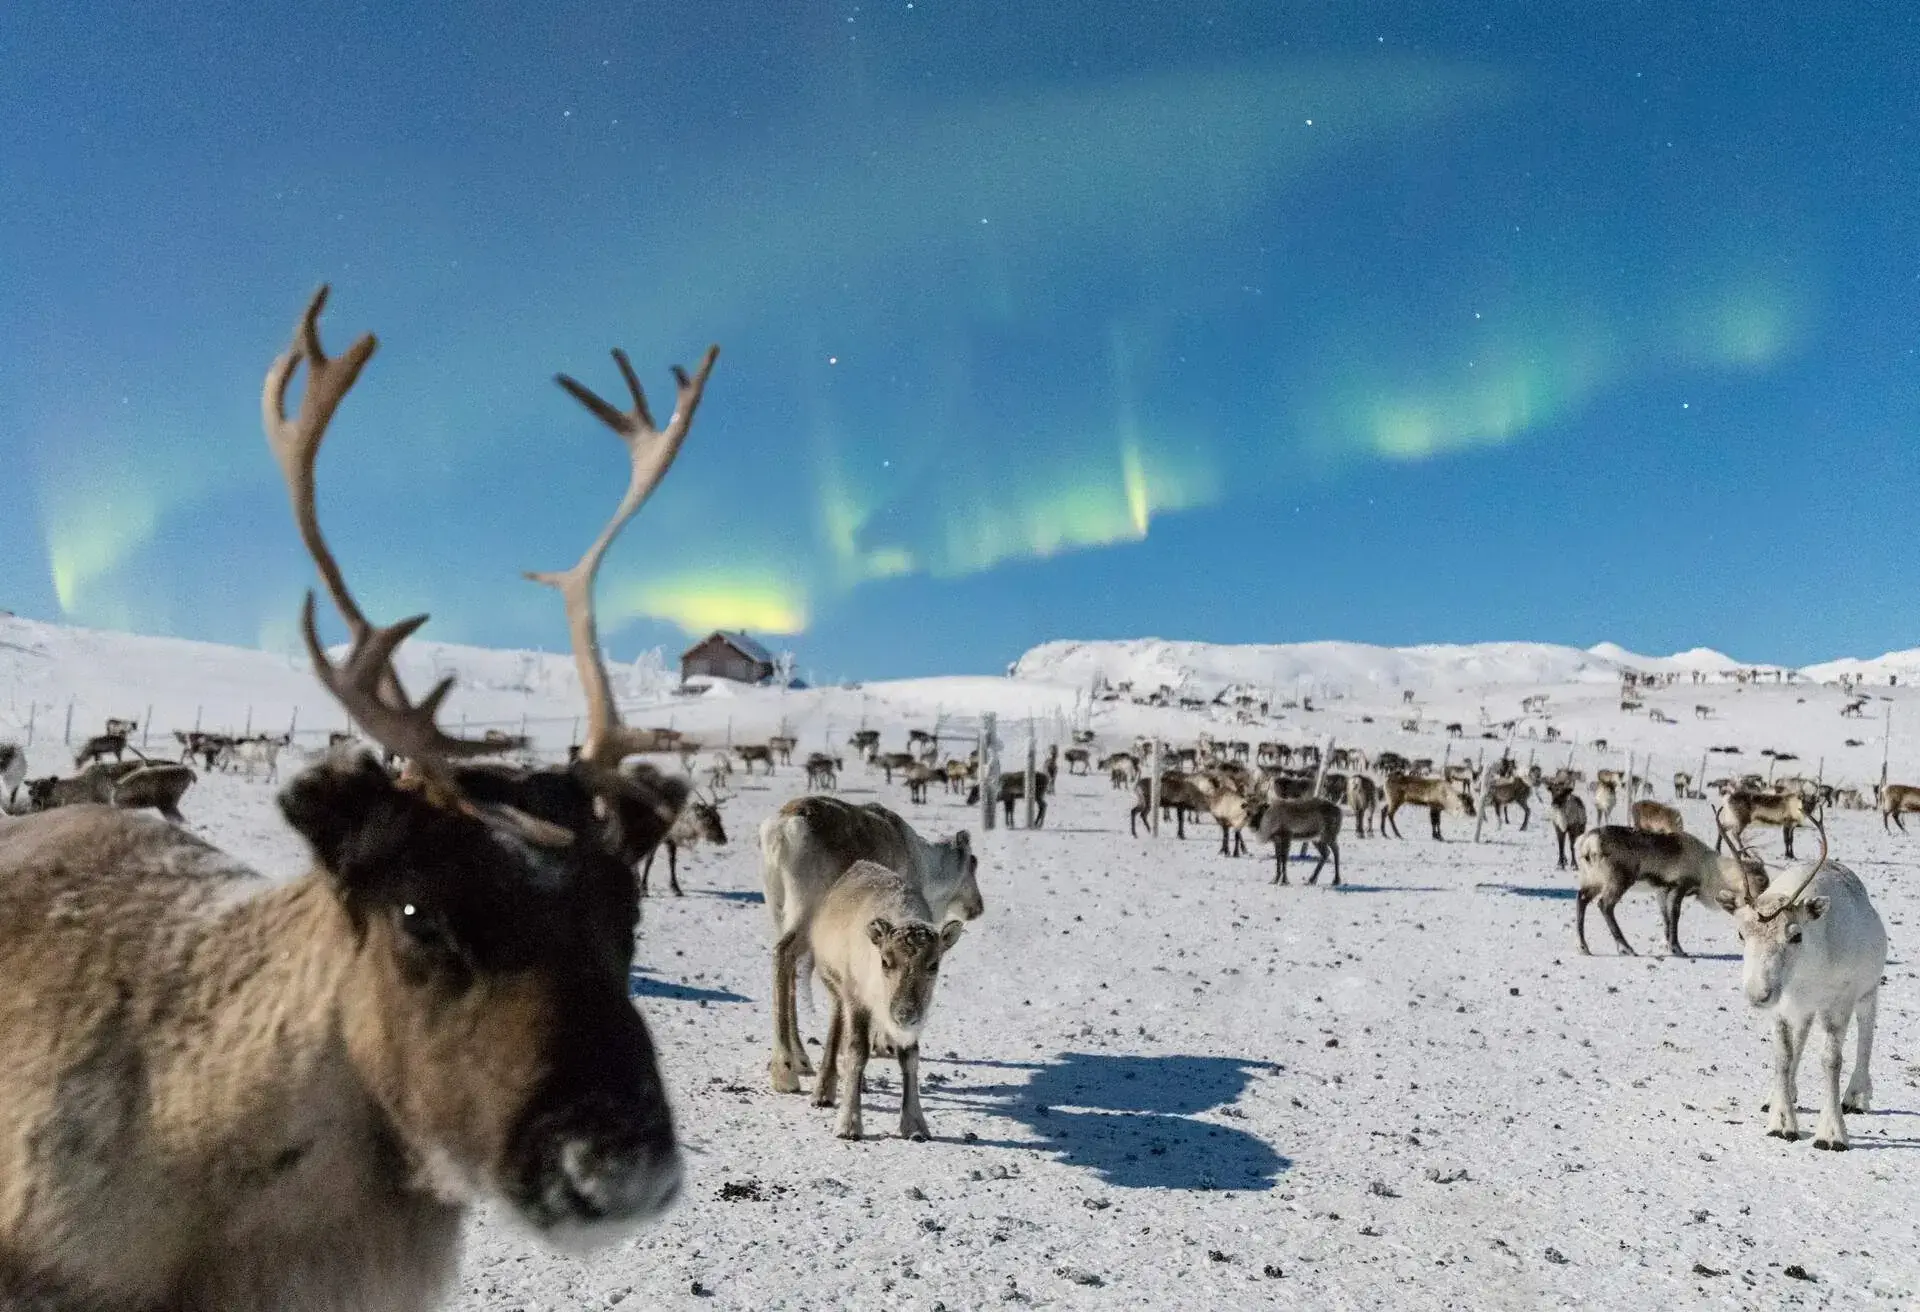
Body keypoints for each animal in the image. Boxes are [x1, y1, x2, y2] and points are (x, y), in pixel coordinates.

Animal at [760, 796, 983, 1094]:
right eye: (973, 862)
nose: (978, 906)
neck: (925, 865)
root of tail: (784, 827)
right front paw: (885, 1042)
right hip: (808, 910)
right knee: (784, 953)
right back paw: (785, 1070)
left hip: (779, 910)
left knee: (788, 965)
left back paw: (800, 1059)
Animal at [1713, 824, 1885, 1149]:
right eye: (1741, 934)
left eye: (1795, 936)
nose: (1758, 994)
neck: (1805, 973)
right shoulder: (1783, 1006)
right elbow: (1783, 1055)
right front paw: (1781, 1123)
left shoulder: (1839, 1001)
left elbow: (1831, 1060)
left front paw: (1831, 1134)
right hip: (1803, 1009)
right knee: (1800, 1037)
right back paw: (1781, 1094)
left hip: (1868, 990)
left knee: (1867, 1028)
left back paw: (1856, 1096)